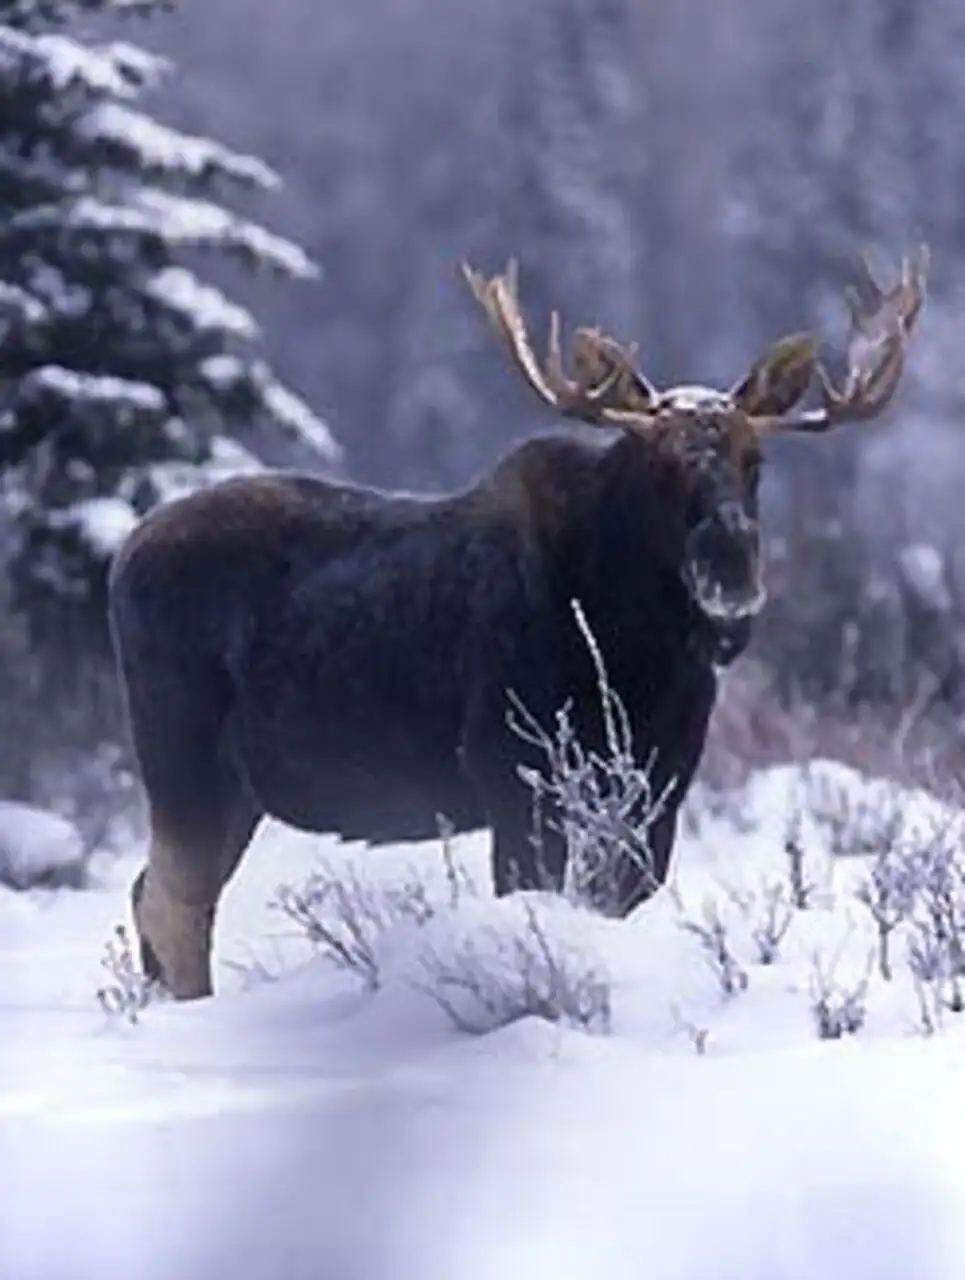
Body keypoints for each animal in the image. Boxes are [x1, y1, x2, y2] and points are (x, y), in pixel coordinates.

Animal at [106, 241, 926, 998]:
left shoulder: (658, 790)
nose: (730, 565)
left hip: (235, 792)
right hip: (181, 762)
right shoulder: (511, 777)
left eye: (756, 462)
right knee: (173, 909)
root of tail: (122, 555)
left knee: (151, 895)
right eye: (660, 464)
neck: (640, 654)